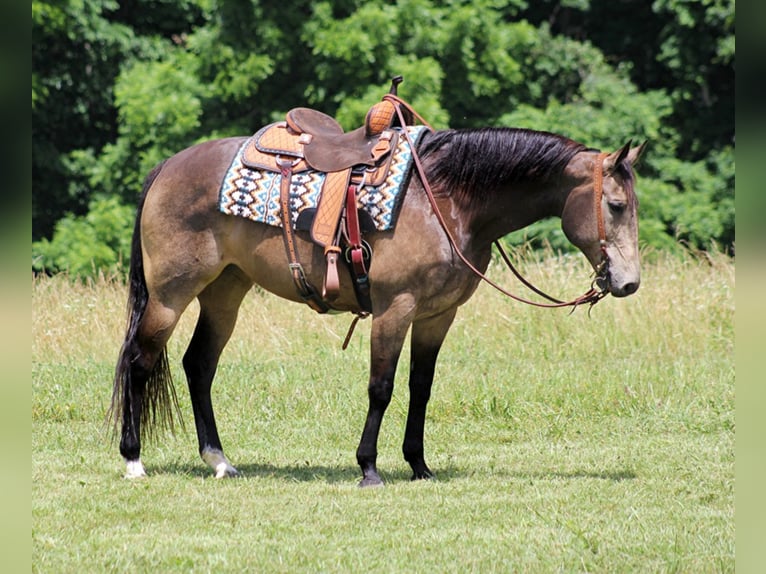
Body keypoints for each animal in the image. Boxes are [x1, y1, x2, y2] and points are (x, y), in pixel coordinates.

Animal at [109, 92, 648, 488]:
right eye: (616, 205)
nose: (628, 282)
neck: (448, 199)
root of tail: (167, 167)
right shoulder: (396, 308)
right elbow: (381, 387)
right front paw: (368, 466)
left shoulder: (437, 316)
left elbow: (420, 387)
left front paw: (419, 465)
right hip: (169, 295)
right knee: (139, 360)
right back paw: (133, 460)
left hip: (225, 292)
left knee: (199, 366)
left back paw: (219, 460)